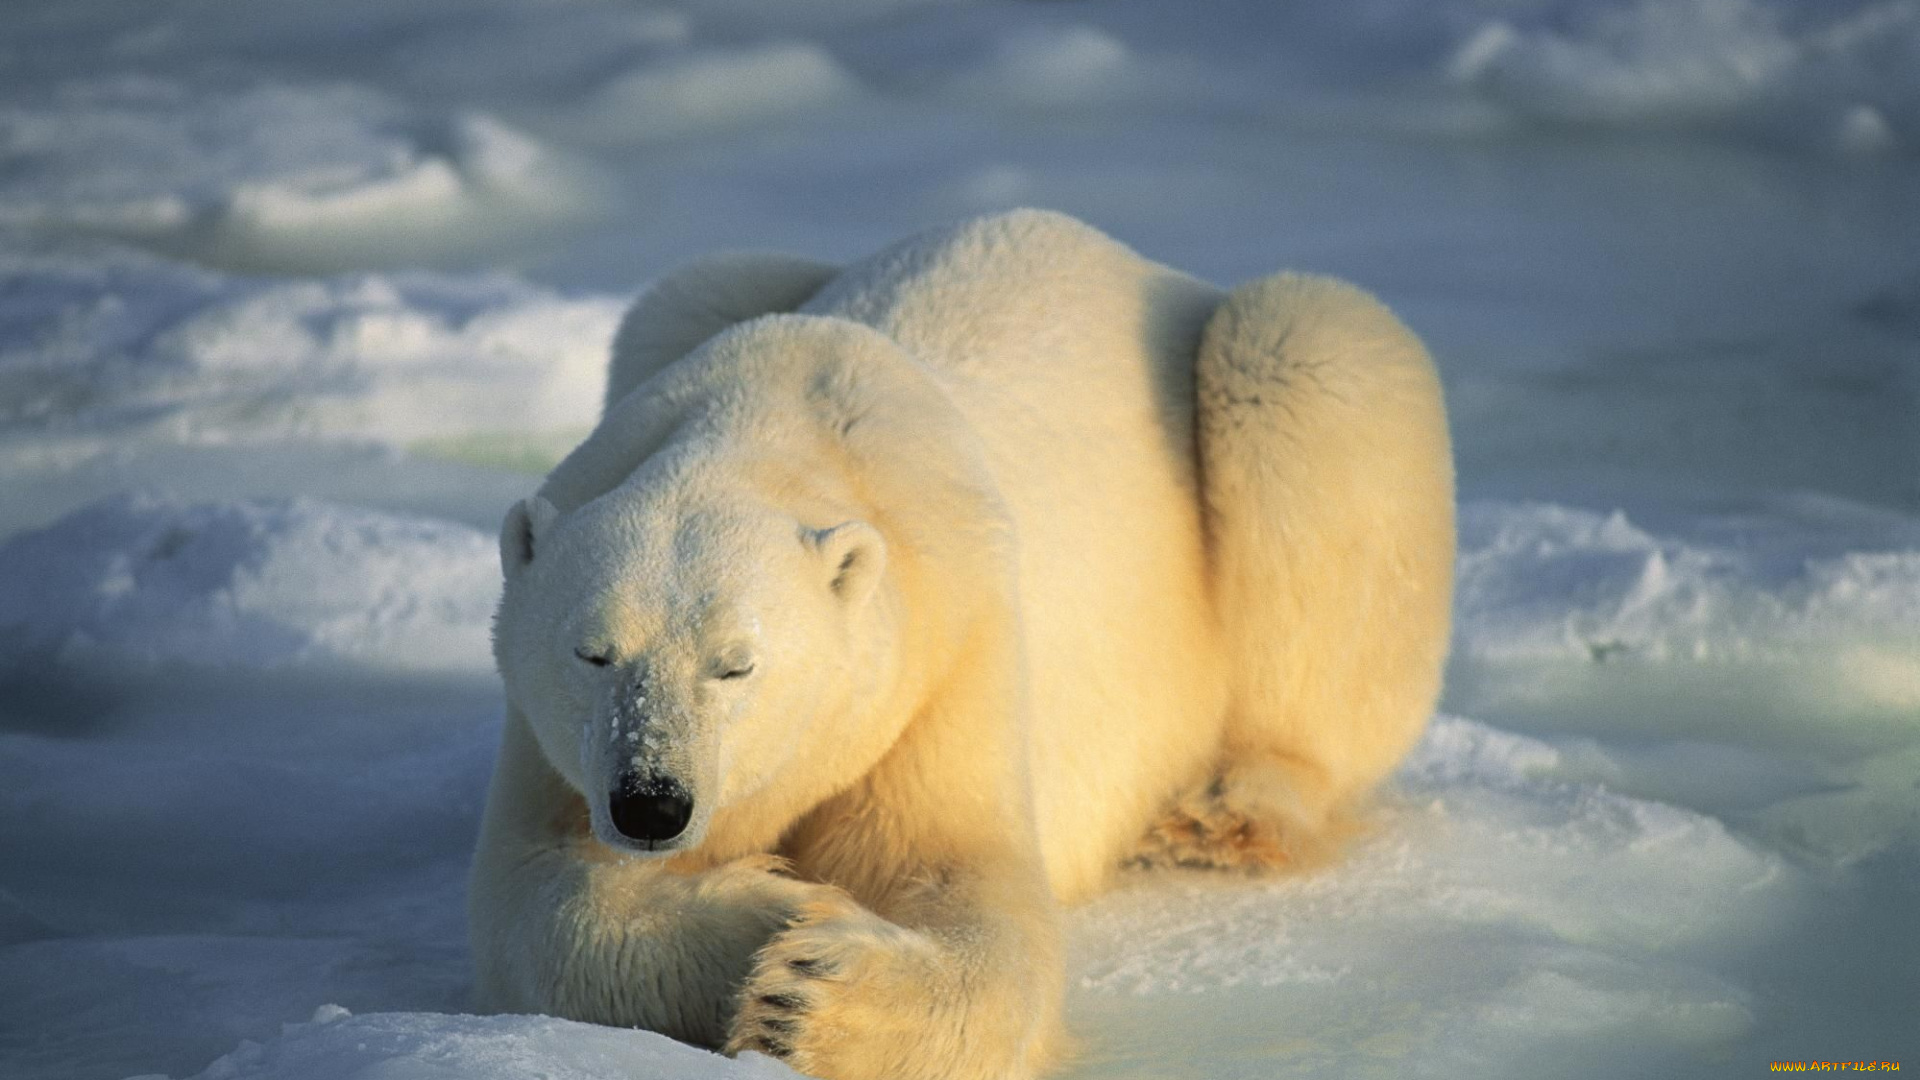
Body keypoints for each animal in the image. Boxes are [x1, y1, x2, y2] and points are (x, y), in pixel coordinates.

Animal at [468, 209, 1454, 1080]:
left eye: (737, 663)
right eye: (592, 653)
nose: (651, 803)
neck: (780, 422)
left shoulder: (948, 647)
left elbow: (967, 880)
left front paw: (807, 994)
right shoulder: (554, 745)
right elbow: (533, 898)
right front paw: (773, 910)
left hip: (1278, 386)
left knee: (1307, 363)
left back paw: (1228, 813)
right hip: (696, 299)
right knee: (686, 286)